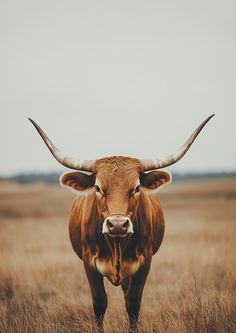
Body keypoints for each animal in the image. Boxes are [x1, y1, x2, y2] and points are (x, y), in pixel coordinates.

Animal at [29, 113, 214, 330]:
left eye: (136, 188)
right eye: (98, 188)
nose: (117, 225)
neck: (116, 245)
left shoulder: (145, 262)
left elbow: (133, 303)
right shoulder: (89, 263)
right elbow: (99, 303)